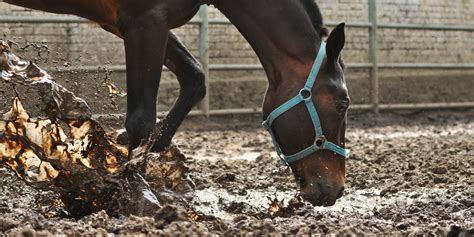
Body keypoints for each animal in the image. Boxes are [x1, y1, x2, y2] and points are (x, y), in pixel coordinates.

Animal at [1, 0, 350, 206]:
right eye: (343, 104)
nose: (335, 189)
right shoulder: (144, 21)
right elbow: (141, 118)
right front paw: (136, 193)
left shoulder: (141, 23)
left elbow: (194, 78)